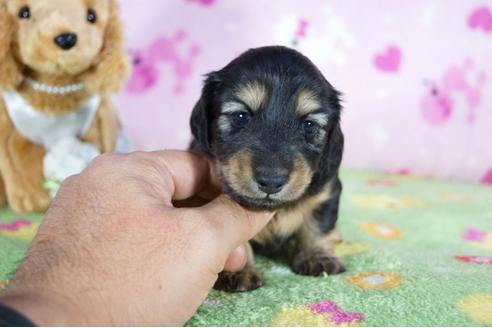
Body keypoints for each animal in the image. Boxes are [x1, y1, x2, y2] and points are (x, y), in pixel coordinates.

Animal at [190, 45, 344, 292]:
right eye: (240, 117)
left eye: (309, 125)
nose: (271, 181)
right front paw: (238, 271)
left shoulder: (326, 191)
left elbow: (317, 225)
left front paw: (318, 257)